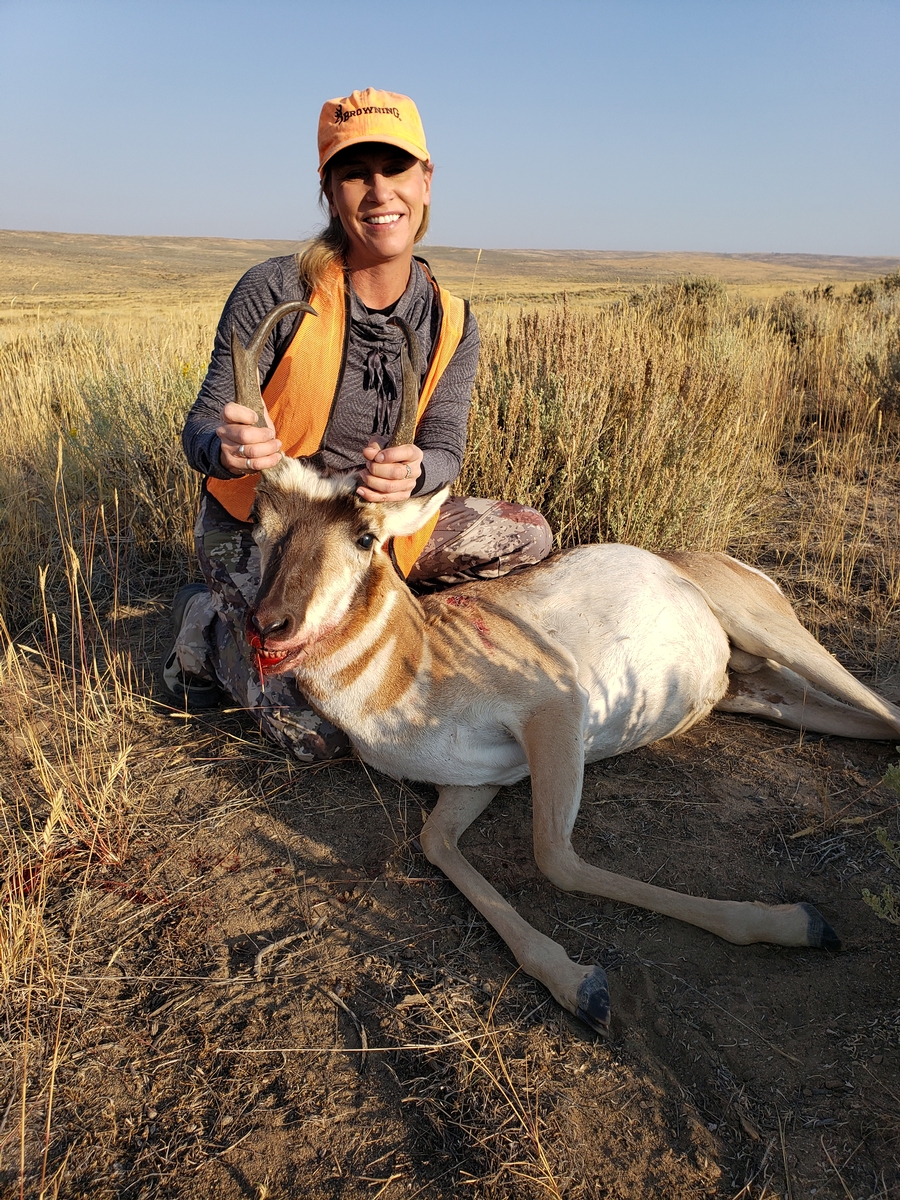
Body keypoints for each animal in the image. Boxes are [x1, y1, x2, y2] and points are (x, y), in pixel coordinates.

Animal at [231, 301, 900, 1034]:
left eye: (365, 536)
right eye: (259, 525)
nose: (269, 625)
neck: (418, 663)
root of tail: (696, 560)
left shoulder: (556, 710)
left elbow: (555, 857)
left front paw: (795, 921)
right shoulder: (472, 786)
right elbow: (435, 845)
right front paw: (577, 982)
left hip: (779, 637)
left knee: (886, 712)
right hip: (763, 693)